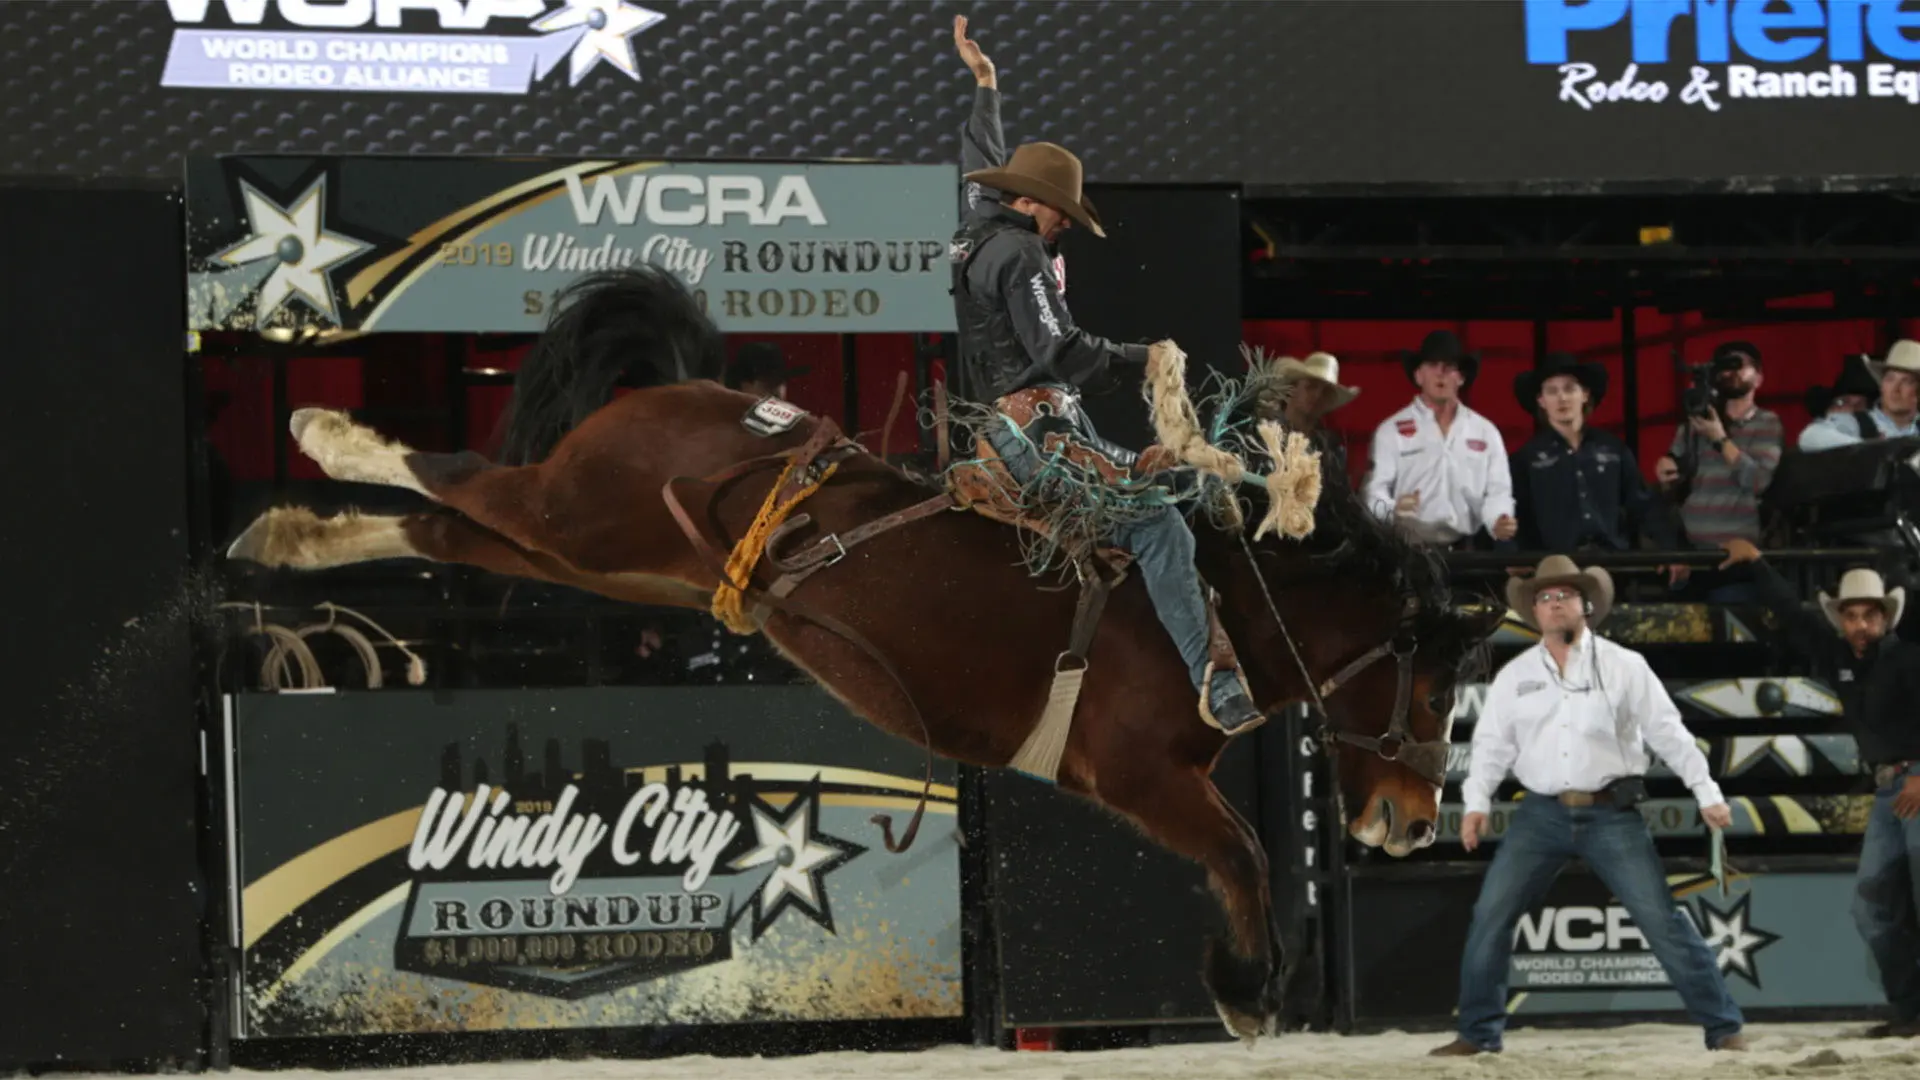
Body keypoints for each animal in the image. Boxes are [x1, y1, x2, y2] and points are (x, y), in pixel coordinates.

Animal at [224, 265, 1497, 1037]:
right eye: (1435, 682)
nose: (1411, 824)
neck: (1216, 604)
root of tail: (693, 393)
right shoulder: (1139, 774)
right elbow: (1244, 849)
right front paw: (1246, 995)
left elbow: (1244, 853)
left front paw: (1252, 987)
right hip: (577, 516)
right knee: (456, 478)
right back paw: (321, 433)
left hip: (601, 557)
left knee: (455, 523)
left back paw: (287, 531)